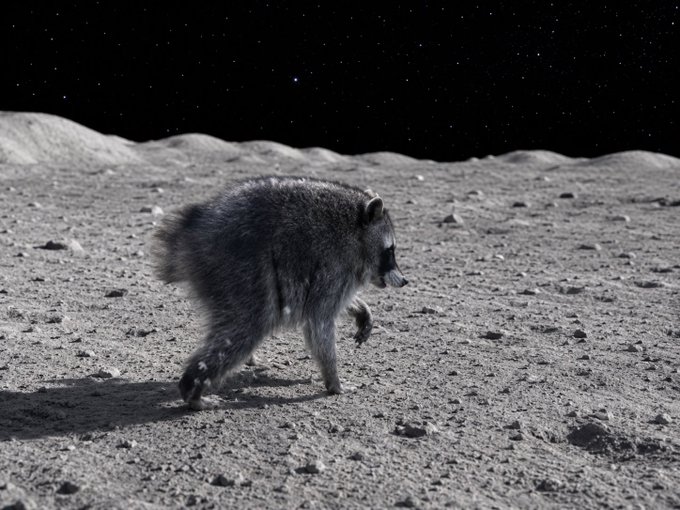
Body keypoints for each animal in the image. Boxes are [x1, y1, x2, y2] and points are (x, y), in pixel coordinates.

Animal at [153, 176, 407, 409]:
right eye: (390, 251)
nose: (405, 281)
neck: (356, 231)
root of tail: (191, 231)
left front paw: (360, 308)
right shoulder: (333, 266)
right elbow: (319, 321)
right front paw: (333, 380)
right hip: (237, 268)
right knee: (246, 327)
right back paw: (193, 388)